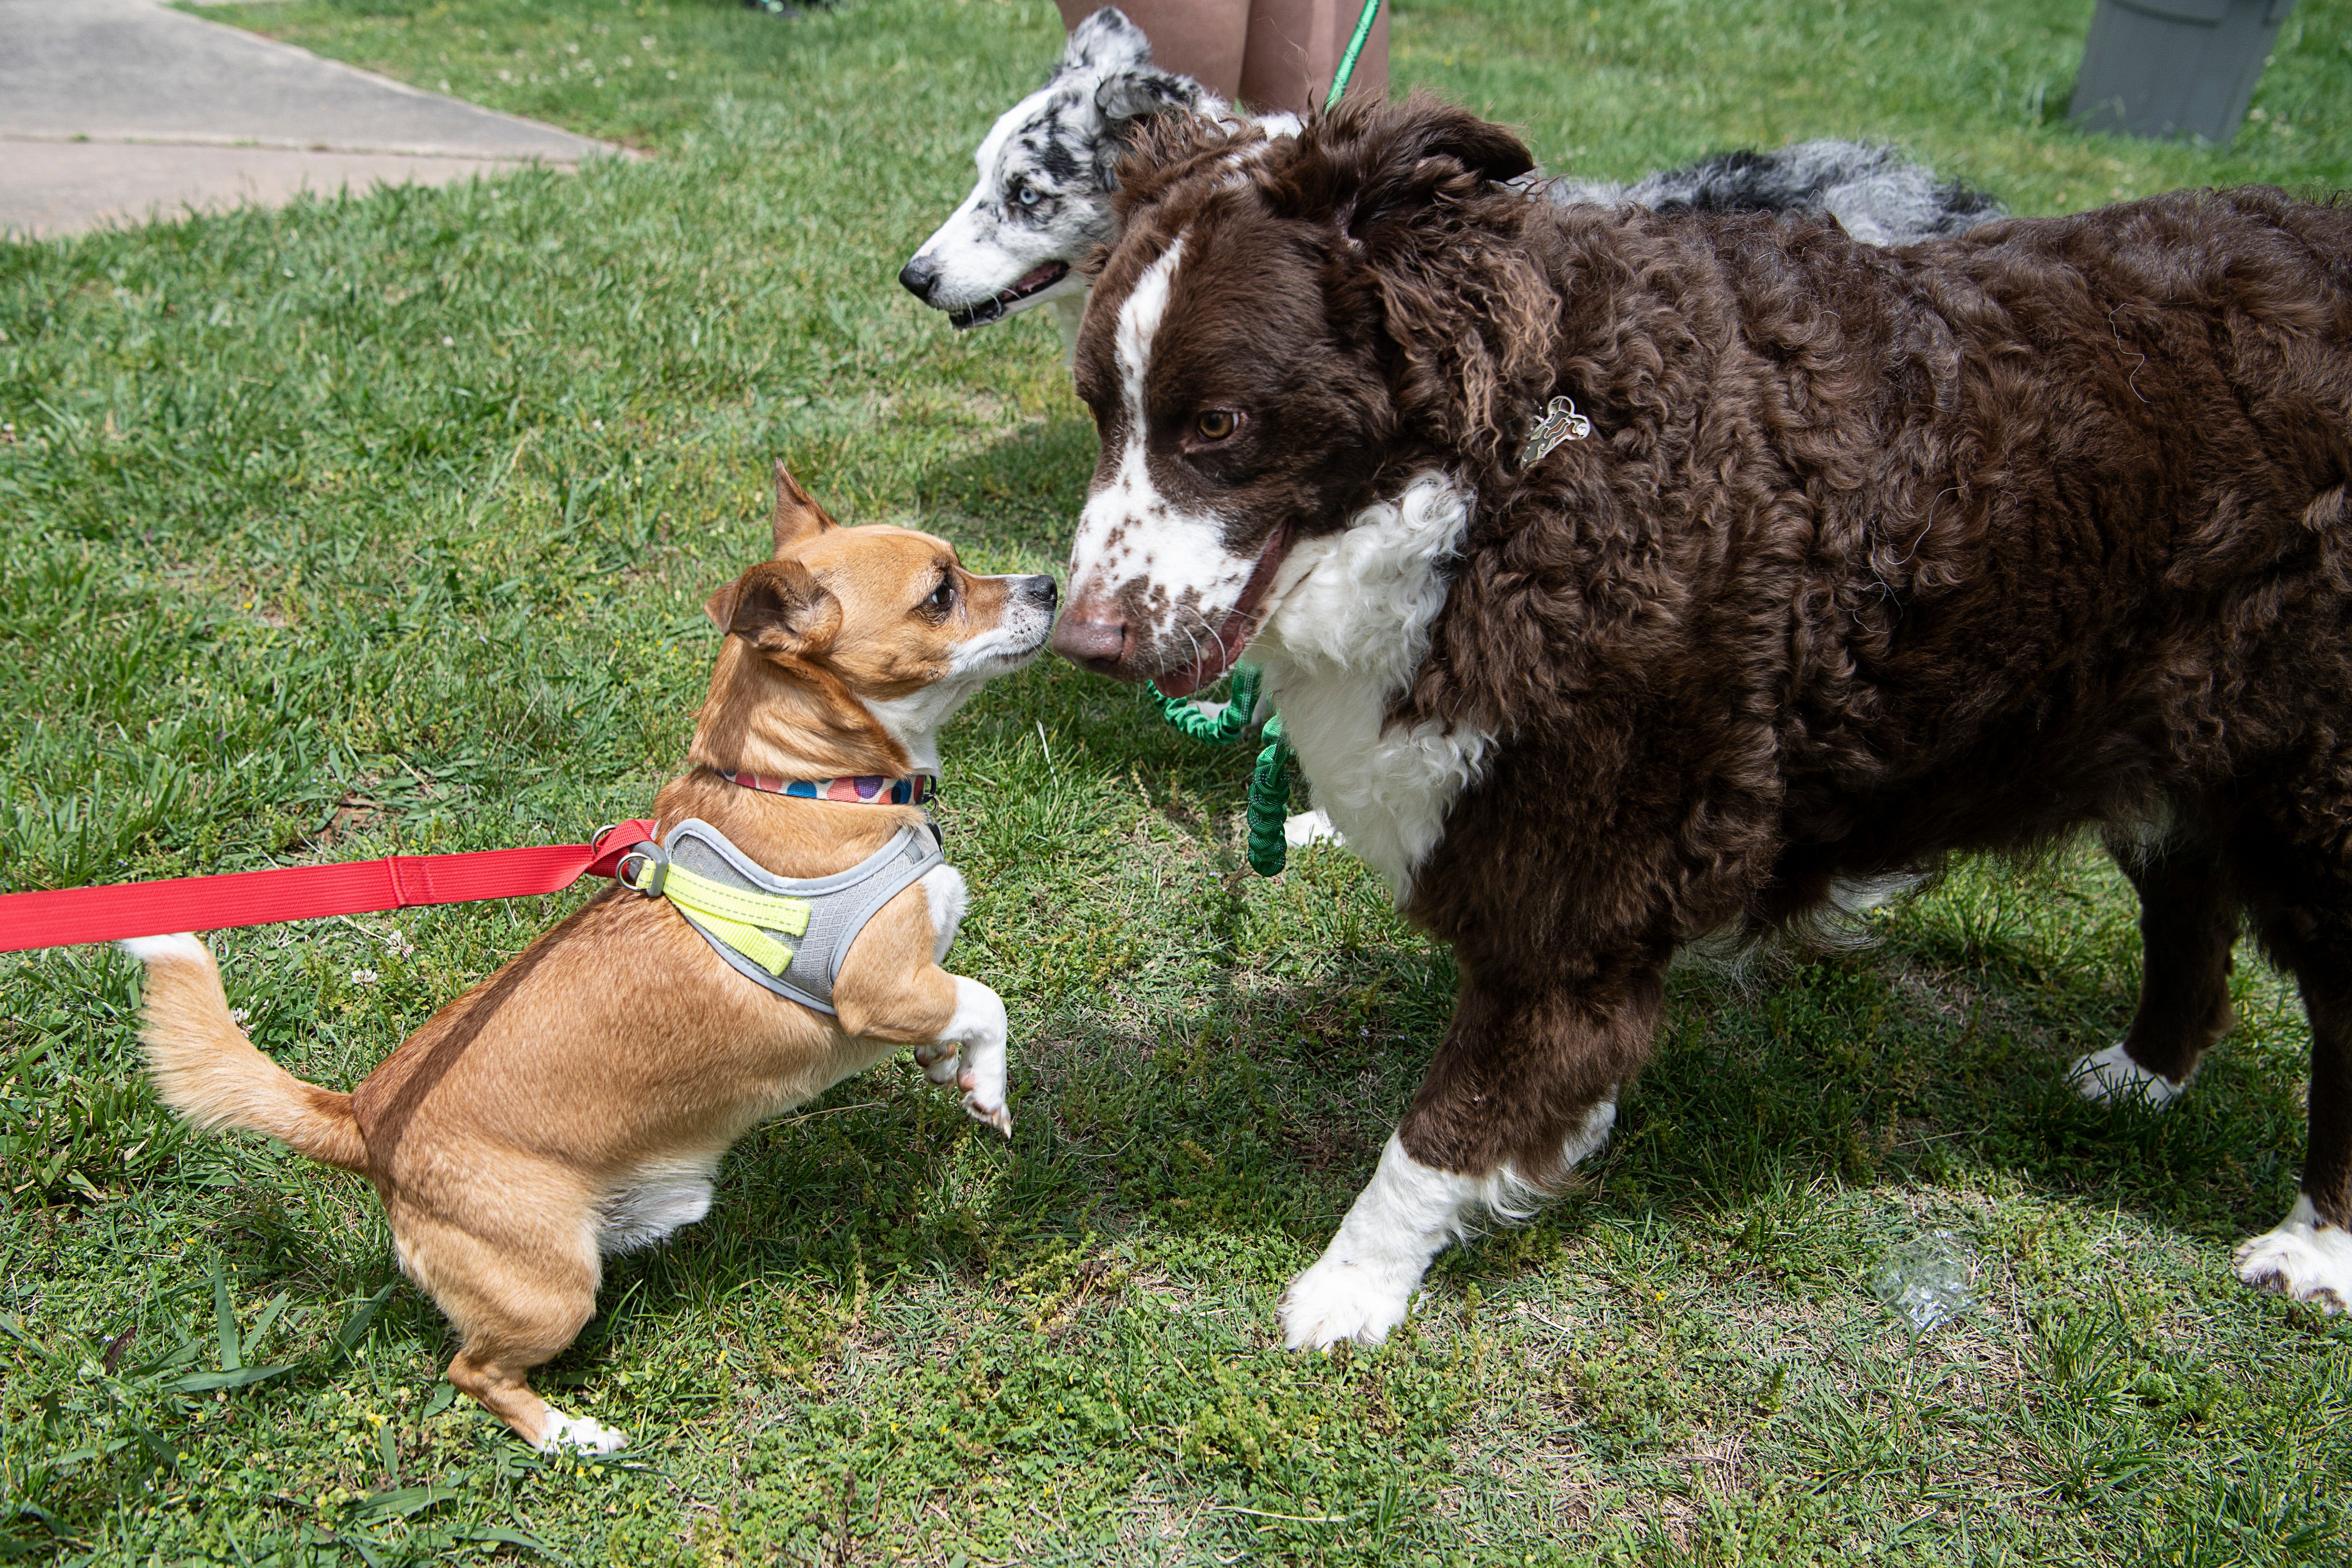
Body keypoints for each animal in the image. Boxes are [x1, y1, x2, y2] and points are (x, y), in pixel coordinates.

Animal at [119, 470, 1058, 1457]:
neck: (816, 787)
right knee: (473, 1373)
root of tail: (363, 1121)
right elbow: (985, 1002)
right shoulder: (877, 989)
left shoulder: (913, 989)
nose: (1048, 585)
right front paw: (990, 1090)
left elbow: (952, 1015)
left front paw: (949, 1071)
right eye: (941, 594)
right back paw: (571, 1437)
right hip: (549, 1288)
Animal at [1058, 92, 2352, 1344]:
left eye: (1217, 426)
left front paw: (1351, 1286)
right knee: (2190, 895)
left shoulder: (1576, 884)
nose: (1079, 645)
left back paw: (2315, 1249)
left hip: (2308, 779)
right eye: (1099, 412)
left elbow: (1447, 1122)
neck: (1504, 482)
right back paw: (2145, 1072)